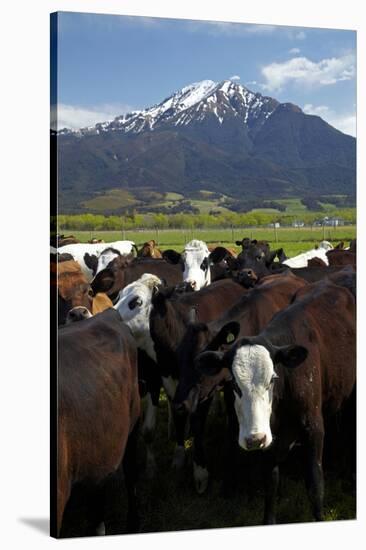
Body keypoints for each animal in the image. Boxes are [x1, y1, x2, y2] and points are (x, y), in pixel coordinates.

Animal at [196, 282, 356, 524]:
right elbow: (270, 485)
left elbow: (315, 485)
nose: (254, 439)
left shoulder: (314, 428)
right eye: (234, 383)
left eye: (272, 379)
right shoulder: (270, 440)